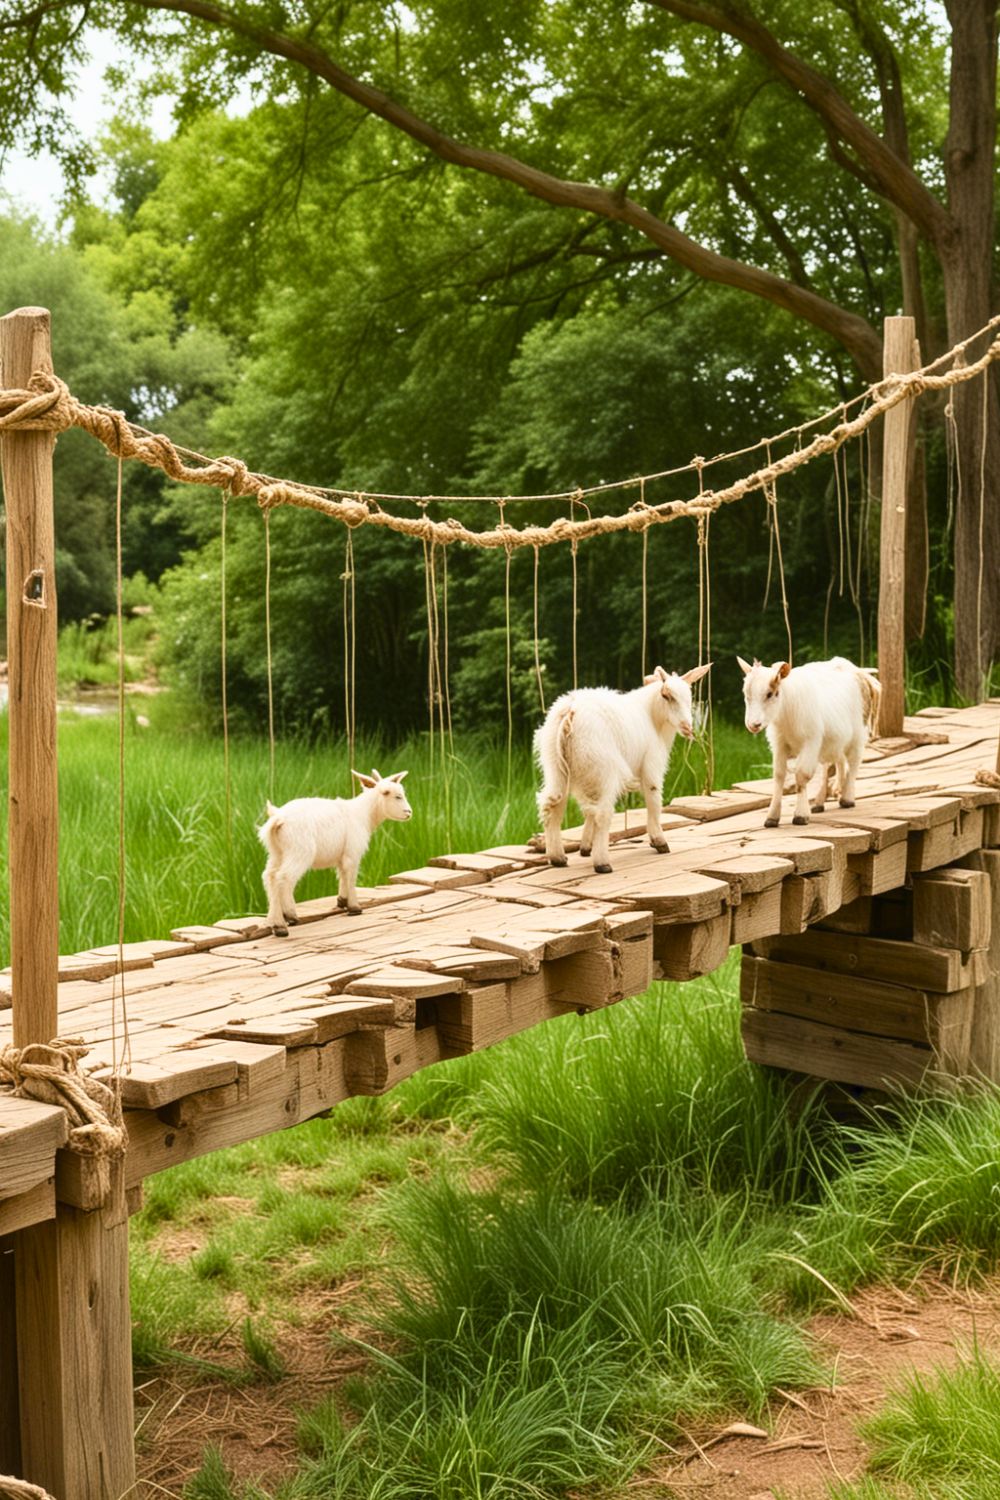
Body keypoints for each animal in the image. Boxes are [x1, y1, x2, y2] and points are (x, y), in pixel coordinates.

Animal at [259, 768, 411, 934]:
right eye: (397, 796)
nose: (409, 813)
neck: (364, 814)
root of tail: (279, 818)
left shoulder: (342, 855)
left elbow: (342, 875)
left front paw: (342, 902)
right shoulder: (353, 851)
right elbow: (351, 877)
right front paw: (354, 908)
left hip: (277, 852)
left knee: (269, 876)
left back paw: (275, 921)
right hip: (299, 850)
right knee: (283, 878)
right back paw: (286, 920)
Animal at [535, 663, 711, 872]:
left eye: (689, 697)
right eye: (666, 695)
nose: (688, 727)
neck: (653, 718)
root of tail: (571, 711)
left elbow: (588, 812)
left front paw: (585, 847)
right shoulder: (651, 763)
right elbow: (654, 799)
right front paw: (659, 842)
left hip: (556, 766)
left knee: (553, 806)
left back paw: (557, 858)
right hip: (603, 767)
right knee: (602, 813)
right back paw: (602, 863)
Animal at [738, 655, 881, 827]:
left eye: (771, 693)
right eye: (746, 693)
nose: (753, 724)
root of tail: (860, 673)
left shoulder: (811, 741)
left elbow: (802, 775)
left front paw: (801, 815)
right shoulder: (779, 744)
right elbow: (779, 776)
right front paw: (772, 817)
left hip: (858, 734)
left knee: (853, 763)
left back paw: (847, 798)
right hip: (832, 741)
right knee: (835, 763)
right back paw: (821, 800)